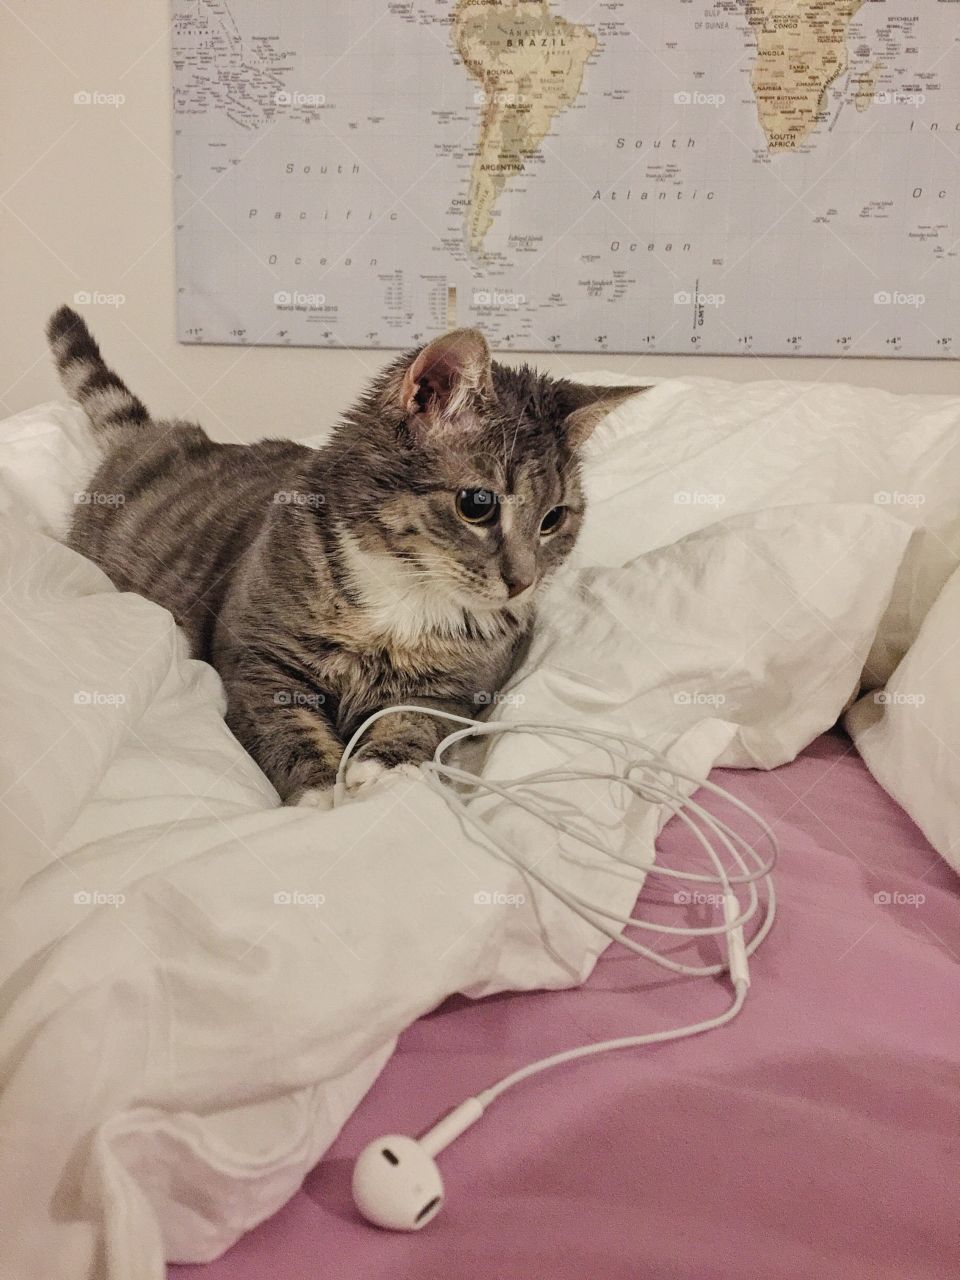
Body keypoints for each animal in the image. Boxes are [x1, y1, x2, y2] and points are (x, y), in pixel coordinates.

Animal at [48, 305, 642, 803]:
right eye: (478, 504)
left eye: (553, 519)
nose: (523, 582)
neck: (405, 595)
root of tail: (152, 433)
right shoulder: (258, 659)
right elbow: (286, 728)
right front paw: (320, 793)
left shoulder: (463, 689)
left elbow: (418, 716)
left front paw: (377, 769)